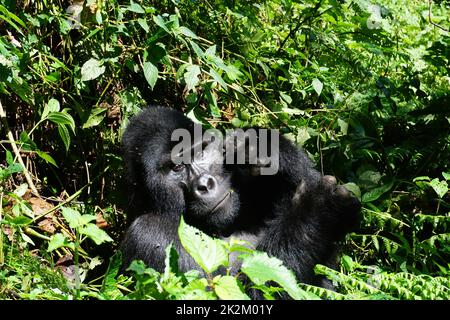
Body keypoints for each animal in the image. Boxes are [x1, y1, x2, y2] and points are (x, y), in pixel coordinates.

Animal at [121, 107, 360, 290]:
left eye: (201, 152)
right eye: (176, 167)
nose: (204, 184)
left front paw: (263, 147)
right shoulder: (148, 235)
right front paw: (319, 207)